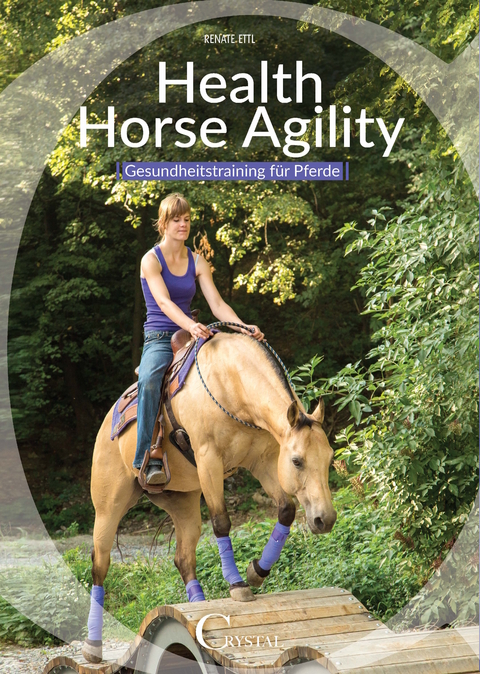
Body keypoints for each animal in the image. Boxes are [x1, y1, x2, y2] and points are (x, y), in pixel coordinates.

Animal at [82, 332, 337, 663]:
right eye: (297, 461)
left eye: (330, 458)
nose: (325, 519)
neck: (232, 384)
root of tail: (105, 429)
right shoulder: (209, 460)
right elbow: (222, 522)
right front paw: (238, 584)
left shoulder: (263, 461)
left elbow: (286, 511)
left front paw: (256, 572)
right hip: (108, 507)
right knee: (100, 565)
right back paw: (93, 646)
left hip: (184, 503)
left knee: (183, 558)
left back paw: (197, 610)